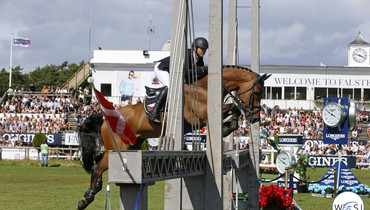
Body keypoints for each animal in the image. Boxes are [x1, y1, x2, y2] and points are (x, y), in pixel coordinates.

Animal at [76, 65, 270, 208]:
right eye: (258, 93)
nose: (255, 118)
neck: (205, 87)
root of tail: (104, 118)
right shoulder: (200, 116)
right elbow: (233, 108)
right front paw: (226, 126)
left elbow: (233, 111)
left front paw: (229, 126)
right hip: (118, 148)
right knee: (96, 167)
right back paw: (87, 198)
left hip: (131, 146)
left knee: (98, 163)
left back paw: (90, 193)